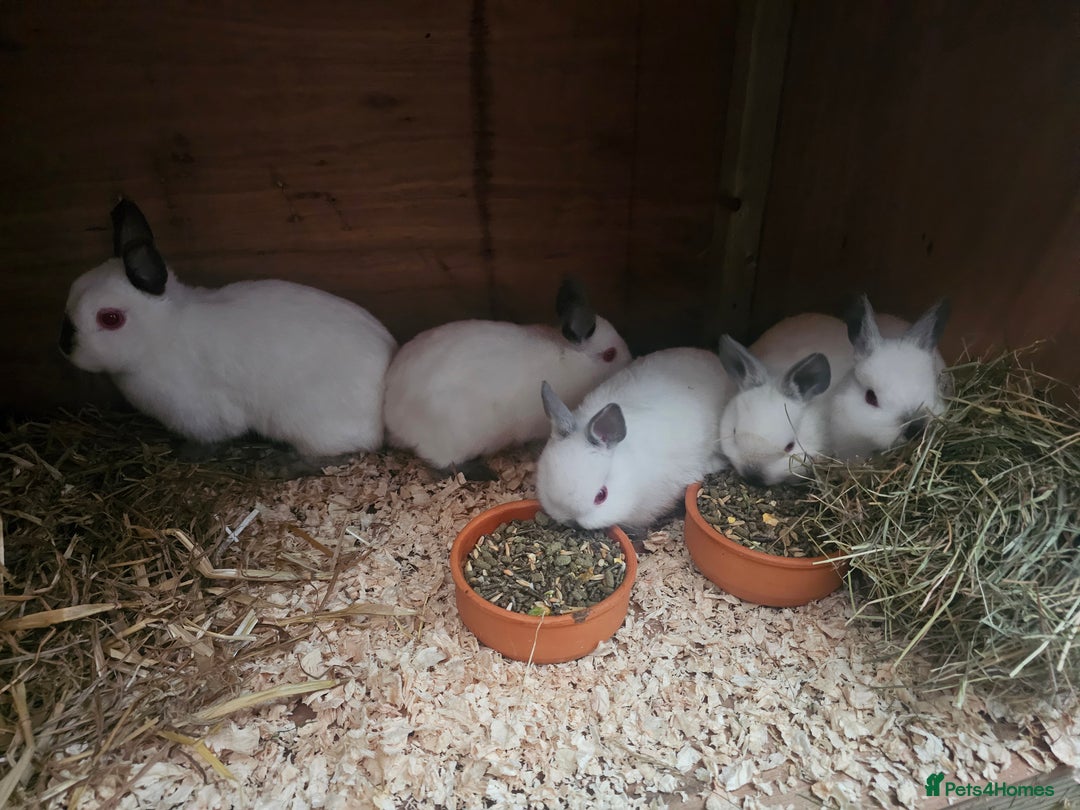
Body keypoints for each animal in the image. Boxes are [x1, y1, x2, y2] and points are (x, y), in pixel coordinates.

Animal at [59, 198, 398, 463]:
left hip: (311, 423)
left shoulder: (203, 415)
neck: (162, 335)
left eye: (110, 318)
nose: (65, 347)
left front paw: (187, 454)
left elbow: (214, 439)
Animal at [383, 278, 630, 479]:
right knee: (446, 465)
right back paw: (485, 474)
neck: (569, 357)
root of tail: (392, 419)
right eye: (610, 355)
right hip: (452, 441)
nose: (630, 359)